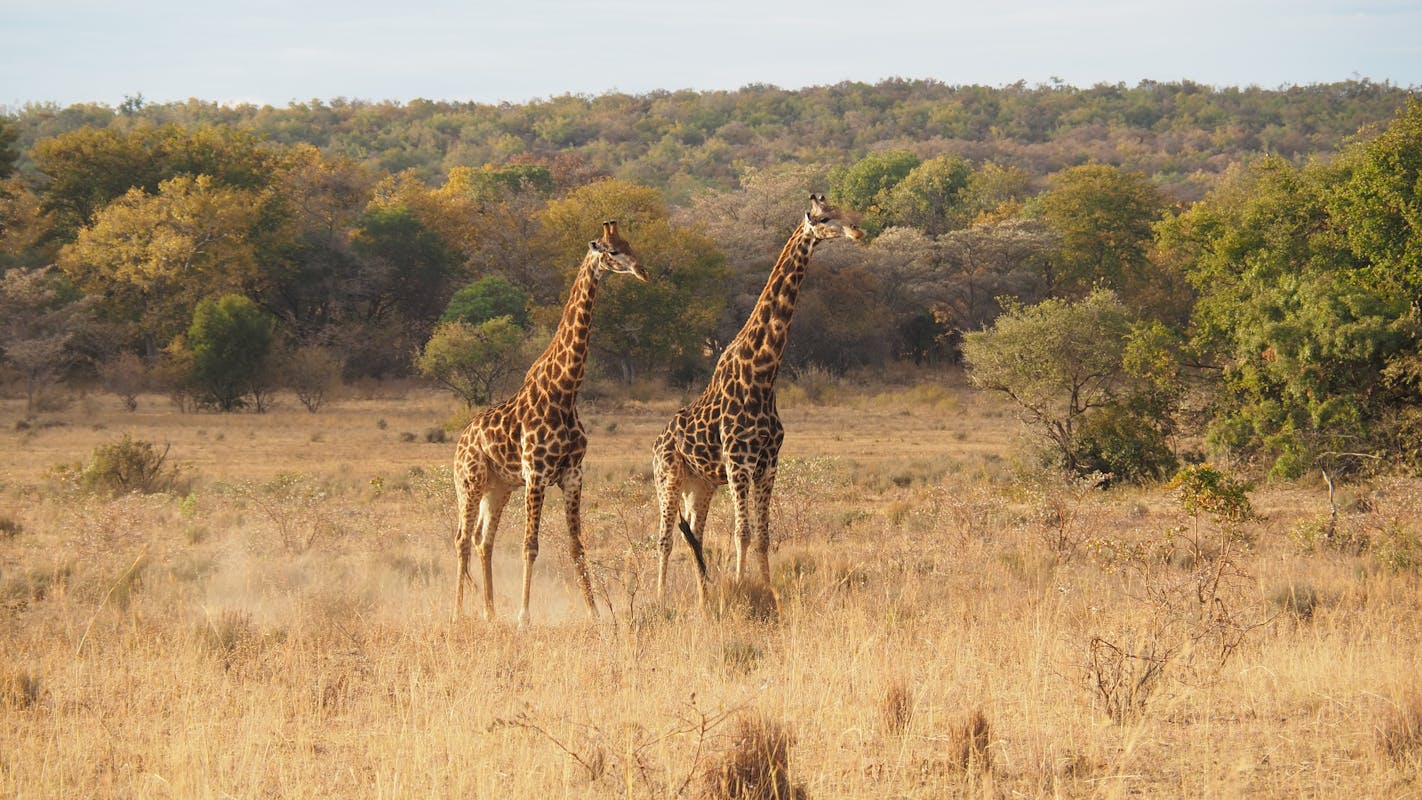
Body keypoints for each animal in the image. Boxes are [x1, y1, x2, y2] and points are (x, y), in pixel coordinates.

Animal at [452, 221, 648, 628]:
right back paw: (458, 613)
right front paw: (524, 616)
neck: (565, 391)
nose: (642, 271)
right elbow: (531, 545)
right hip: (470, 480)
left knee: (483, 540)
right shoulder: (537, 473)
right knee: (462, 538)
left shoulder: (572, 473)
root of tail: (461, 441)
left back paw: (489, 612)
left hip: (499, 487)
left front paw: (594, 612)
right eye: (612, 251)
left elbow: (577, 546)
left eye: (629, 244)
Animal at [654, 197, 864, 605]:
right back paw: (658, 599)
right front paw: (740, 588)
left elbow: (764, 536)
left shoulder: (768, 463)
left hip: (700, 485)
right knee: (665, 538)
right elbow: (743, 533)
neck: (763, 373)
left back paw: (704, 597)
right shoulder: (739, 461)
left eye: (847, 210)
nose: (858, 231)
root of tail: (655, 443)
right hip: (667, 476)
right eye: (824, 218)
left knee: (694, 534)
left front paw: (768, 590)